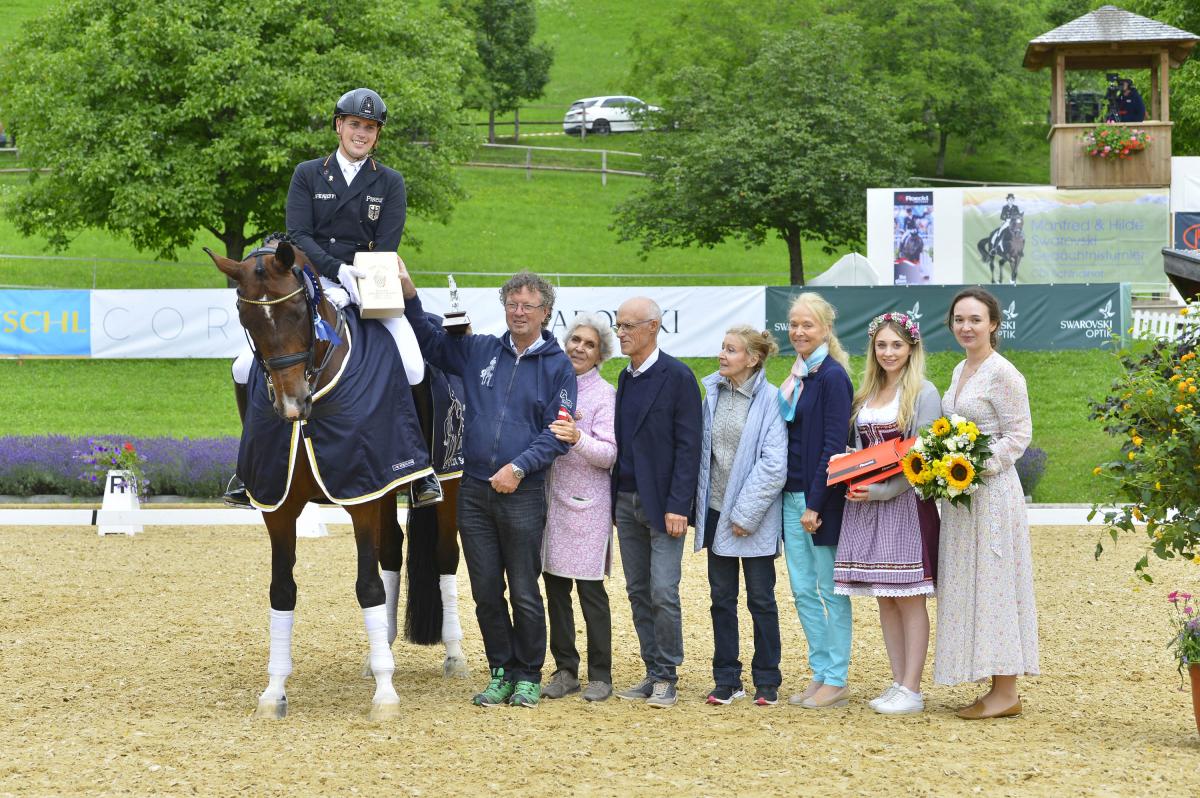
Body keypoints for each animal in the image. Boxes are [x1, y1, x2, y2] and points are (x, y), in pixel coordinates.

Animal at [205, 236, 456, 720]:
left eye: (297, 312)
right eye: (246, 318)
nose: (291, 405)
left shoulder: (361, 492)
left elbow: (367, 586)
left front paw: (385, 695)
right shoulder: (282, 503)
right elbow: (282, 590)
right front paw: (274, 691)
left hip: (449, 479)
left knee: (445, 555)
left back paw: (454, 654)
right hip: (383, 490)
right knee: (392, 551)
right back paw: (382, 652)